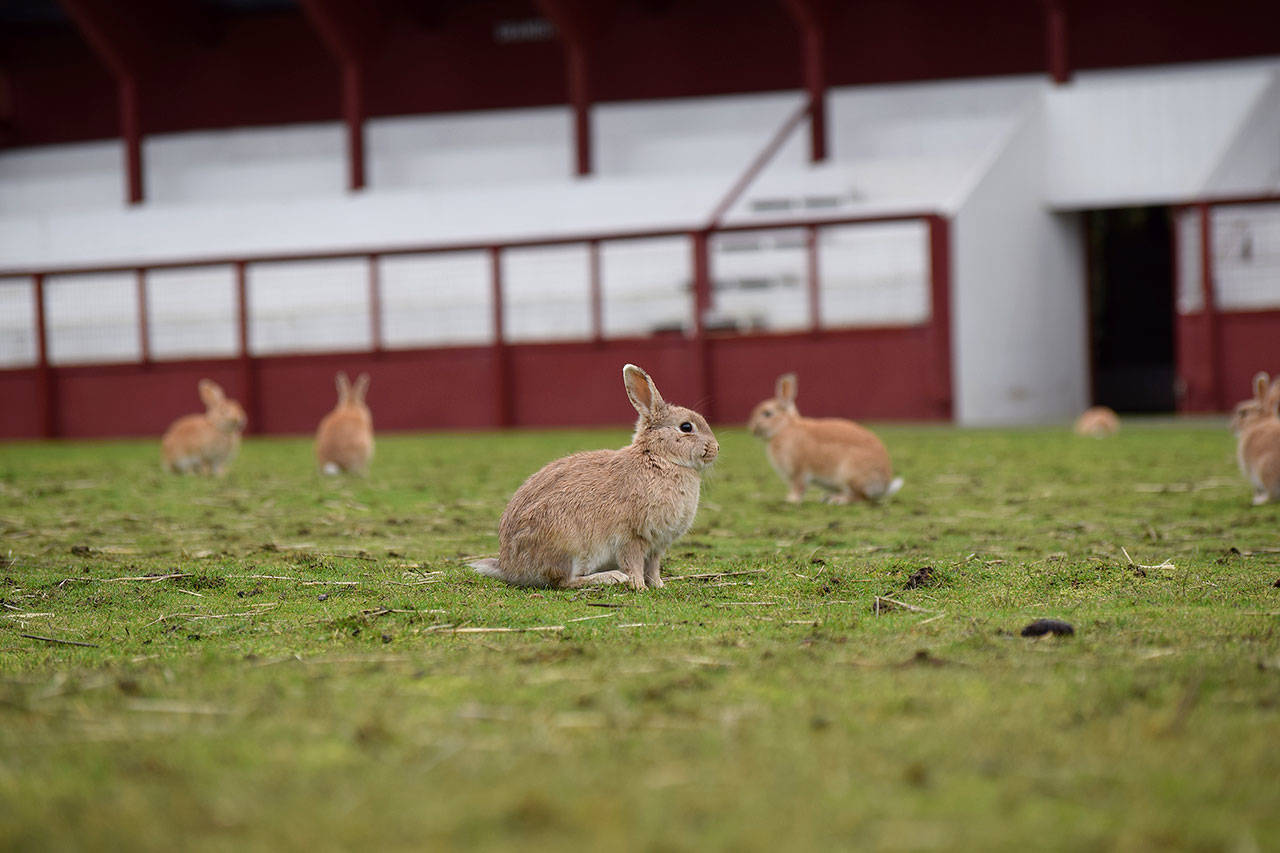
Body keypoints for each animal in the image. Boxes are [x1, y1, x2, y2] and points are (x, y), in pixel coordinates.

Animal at [470, 364, 718, 590]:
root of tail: (510, 567)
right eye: (686, 427)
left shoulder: (656, 545)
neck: (659, 457)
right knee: (564, 581)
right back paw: (611, 577)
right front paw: (638, 586)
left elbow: (653, 567)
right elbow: (634, 564)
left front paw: (659, 586)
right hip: (568, 546)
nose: (716, 448)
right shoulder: (632, 537)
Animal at [747, 372, 902, 504]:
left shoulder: (798, 471)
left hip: (849, 475)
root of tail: (884, 486)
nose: (752, 428)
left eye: (767, 413)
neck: (783, 428)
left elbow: (798, 487)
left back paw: (838, 500)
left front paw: (791, 500)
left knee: (860, 498)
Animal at [1230, 372, 1280, 505]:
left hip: (1265, 469)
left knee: (1272, 496)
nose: (1231, 426)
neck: (1258, 421)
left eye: (1243, 412)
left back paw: (1258, 500)